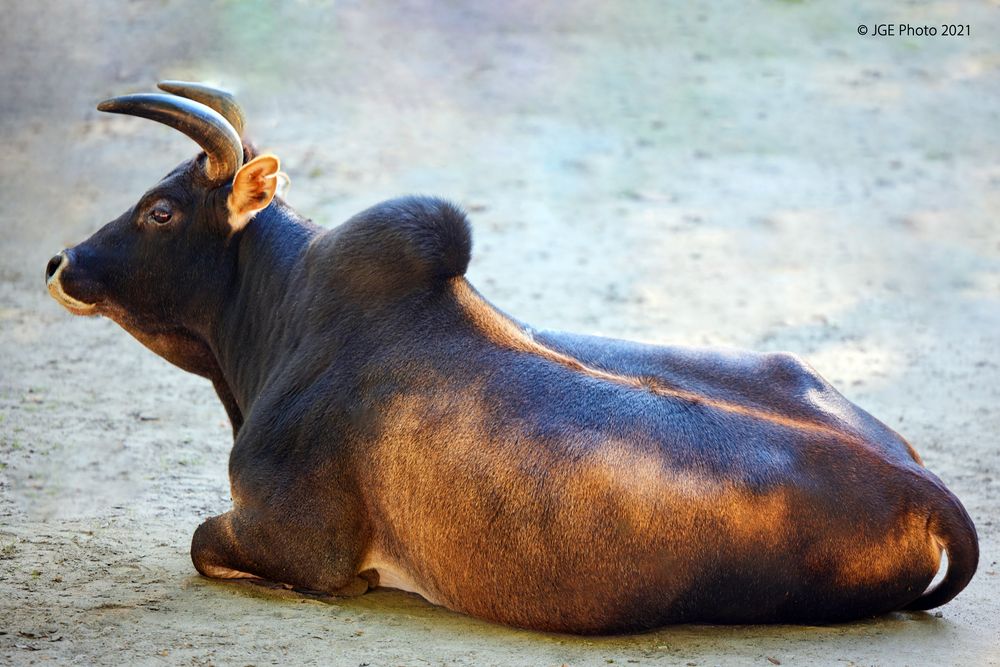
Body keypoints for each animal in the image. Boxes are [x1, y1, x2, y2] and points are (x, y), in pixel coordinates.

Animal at [47, 81, 976, 636]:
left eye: (161, 210)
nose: (60, 262)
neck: (286, 311)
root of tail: (922, 487)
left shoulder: (297, 541)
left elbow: (207, 541)